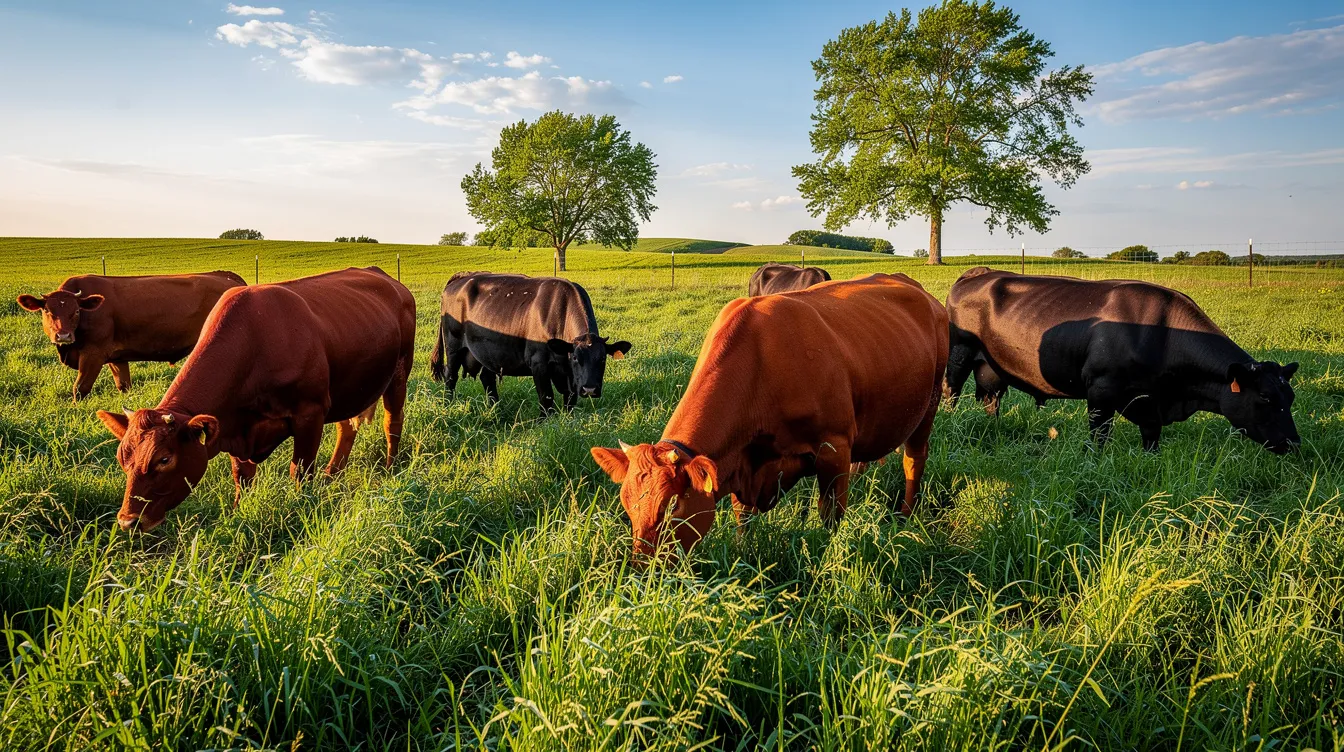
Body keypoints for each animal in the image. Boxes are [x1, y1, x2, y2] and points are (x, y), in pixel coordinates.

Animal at [17, 271, 246, 401]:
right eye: (48, 311)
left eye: (75, 312)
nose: (63, 335)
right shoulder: (117, 357)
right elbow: (124, 386)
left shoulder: (93, 354)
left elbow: (80, 389)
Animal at [94, 267, 416, 532]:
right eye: (122, 459)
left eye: (164, 458)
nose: (128, 521)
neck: (255, 343)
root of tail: (386, 278)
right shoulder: (234, 426)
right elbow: (242, 477)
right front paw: (238, 513)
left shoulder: (310, 413)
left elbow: (300, 471)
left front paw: (301, 506)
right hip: (347, 388)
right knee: (346, 427)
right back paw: (332, 474)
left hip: (400, 371)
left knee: (392, 422)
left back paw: (390, 468)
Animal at [428, 272, 631, 413]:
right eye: (575, 357)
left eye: (603, 359)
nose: (590, 389)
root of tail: (463, 277)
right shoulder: (539, 364)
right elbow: (546, 398)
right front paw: (545, 424)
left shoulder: (572, 378)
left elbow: (570, 401)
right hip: (453, 347)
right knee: (451, 377)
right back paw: (448, 405)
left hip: (487, 352)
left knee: (487, 378)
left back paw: (496, 409)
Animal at [591, 273, 948, 560]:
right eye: (626, 505)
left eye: (671, 506)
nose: (641, 571)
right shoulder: (739, 462)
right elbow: (743, 517)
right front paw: (742, 552)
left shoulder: (834, 447)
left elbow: (830, 517)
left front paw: (828, 555)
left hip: (929, 405)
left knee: (914, 460)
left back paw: (905, 516)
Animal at [945, 267, 1300, 453]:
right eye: (1265, 397)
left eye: (1290, 397)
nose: (1295, 443)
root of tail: (981, 271)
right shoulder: (1101, 390)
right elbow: (1099, 437)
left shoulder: (1150, 404)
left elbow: (1151, 438)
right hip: (959, 353)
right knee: (951, 394)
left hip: (991, 368)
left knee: (990, 400)